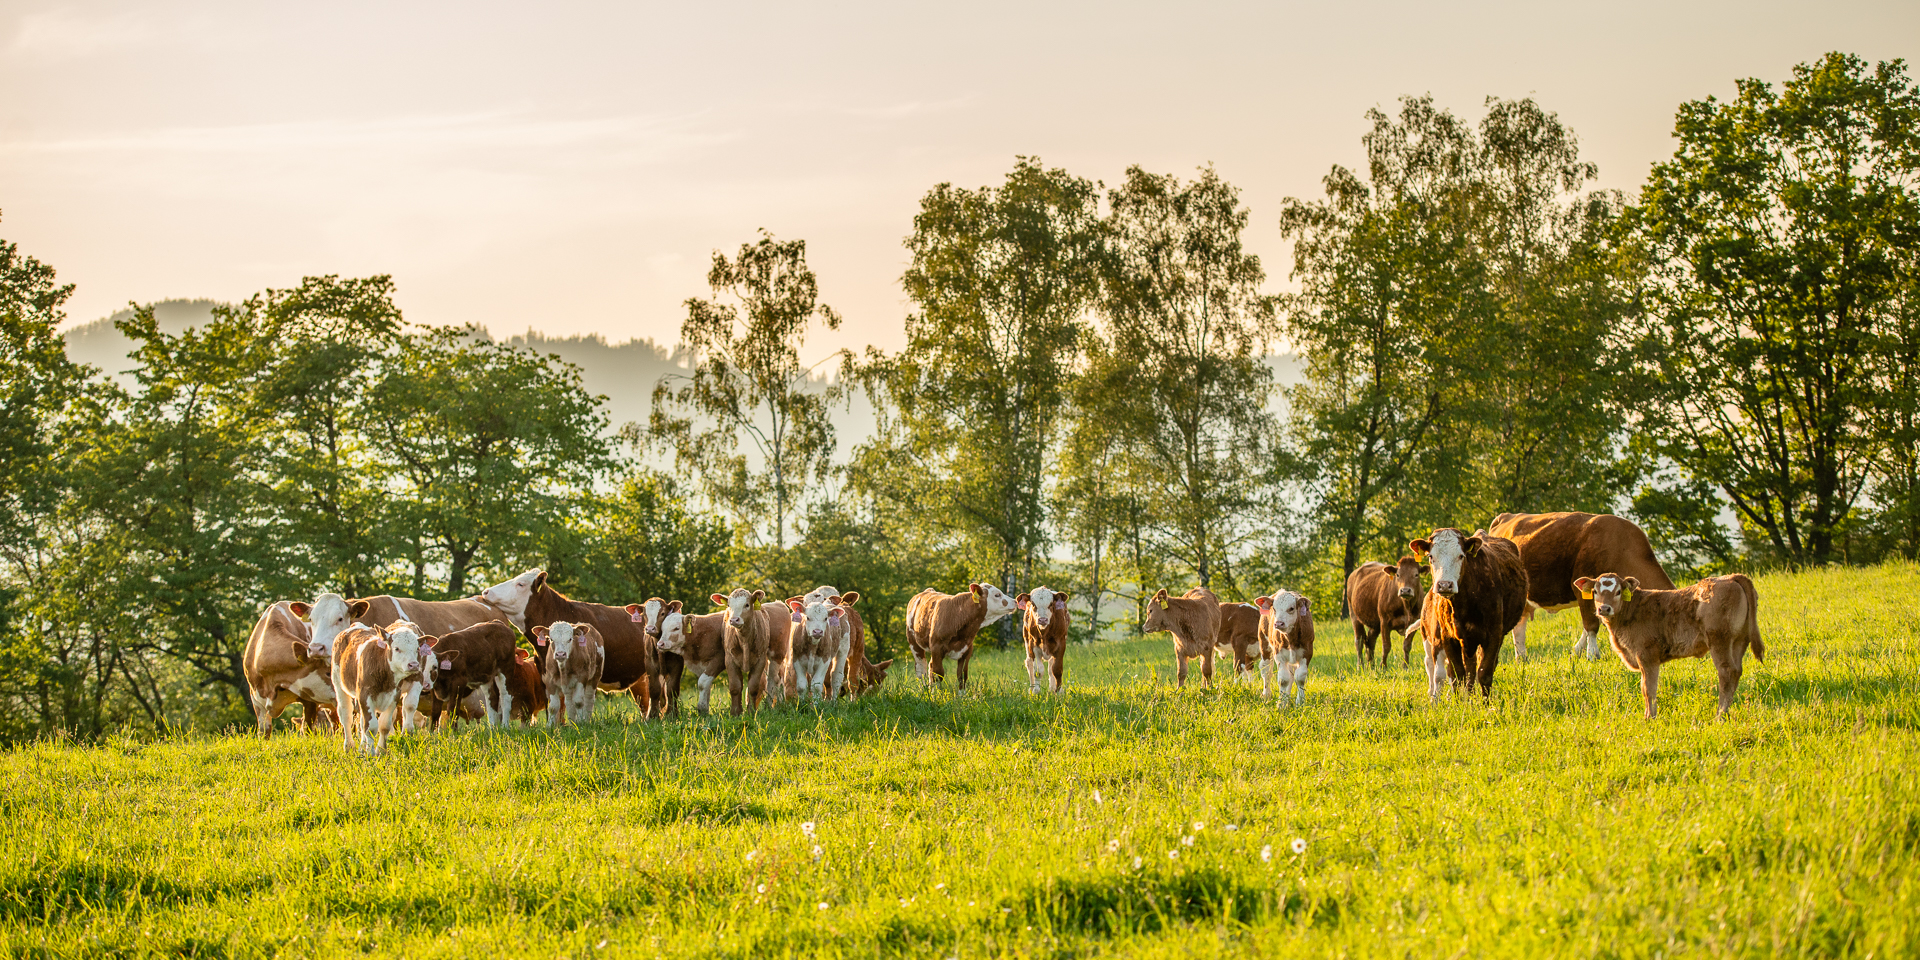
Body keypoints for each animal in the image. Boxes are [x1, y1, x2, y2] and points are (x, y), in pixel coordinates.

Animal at [334, 622, 432, 756]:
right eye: (396, 648)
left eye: (417, 648)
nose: (414, 665)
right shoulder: (365, 695)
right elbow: (370, 727)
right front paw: (370, 753)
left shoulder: (395, 695)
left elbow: (384, 724)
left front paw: (381, 750)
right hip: (339, 684)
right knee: (346, 715)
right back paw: (349, 746)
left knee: (361, 721)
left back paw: (362, 747)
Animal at [1413, 526, 1528, 698]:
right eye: (1431, 557)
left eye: (1461, 556)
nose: (1445, 585)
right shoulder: (1448, 637)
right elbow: (1458, 674)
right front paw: (1461, 701)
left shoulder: (1493, 635)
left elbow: (1484, 673)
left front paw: (1486, 702)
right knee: (1468, 670)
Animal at [1482, 514, 1681, 664]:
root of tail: (1505, 517)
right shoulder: (1583, 588)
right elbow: (1591, 625)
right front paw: (1592, 655)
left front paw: (1577, 650)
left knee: (1520, 625)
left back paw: (1522, 658)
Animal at [1574, 568, 1766, 721]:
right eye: (1595, 591)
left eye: (1618, 591)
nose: (1604, 609)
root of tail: (1730, 577)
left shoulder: (1647, 655)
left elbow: (1648, 687)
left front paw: (1650, 717)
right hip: (1739, 640)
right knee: (1737, 671)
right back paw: (1725, 712)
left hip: (1719, 640)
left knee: (1727, 672)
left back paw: (1719, 715)